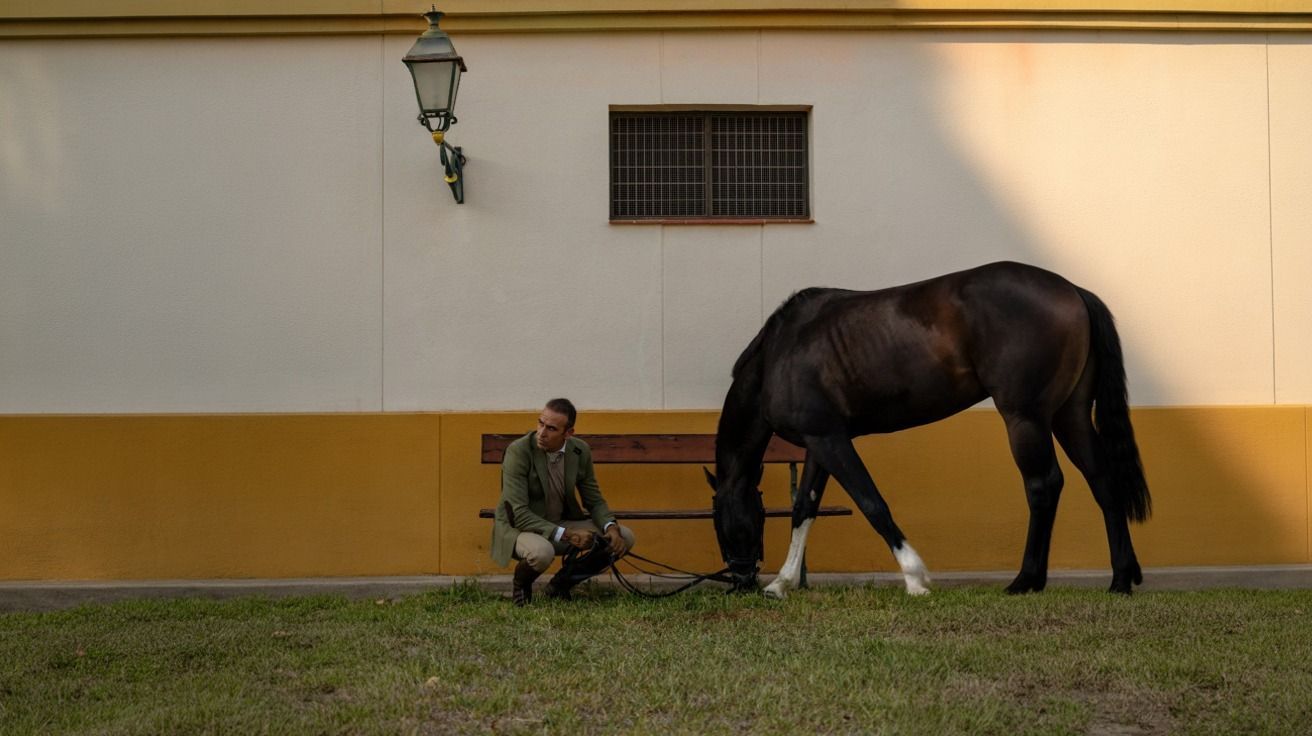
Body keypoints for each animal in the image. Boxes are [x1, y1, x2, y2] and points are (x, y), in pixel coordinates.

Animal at [705, 261, 1151, 598]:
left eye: (721, 522)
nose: (741, 581)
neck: (780, 352)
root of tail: (1073, 290)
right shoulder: (819, 443)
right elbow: (804, 509)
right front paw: (781, 583)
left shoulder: (832, 440)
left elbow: (872, 502)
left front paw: (915, 577)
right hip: (1069, 416)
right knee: (1102, 481)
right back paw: (1119, 579)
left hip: (1025, 418)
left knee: (1043, 485)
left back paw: (1026, 581)